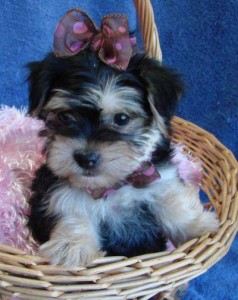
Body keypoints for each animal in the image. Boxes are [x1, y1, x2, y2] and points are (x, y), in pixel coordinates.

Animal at [27, 49, 218, 268]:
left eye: (121, 118)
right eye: (65, 116)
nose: (85, 158)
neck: (112, 185)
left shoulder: (160, 175)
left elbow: (172, 200)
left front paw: (197, 225)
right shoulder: (55, 188)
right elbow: (71, 207)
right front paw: (70, 246)